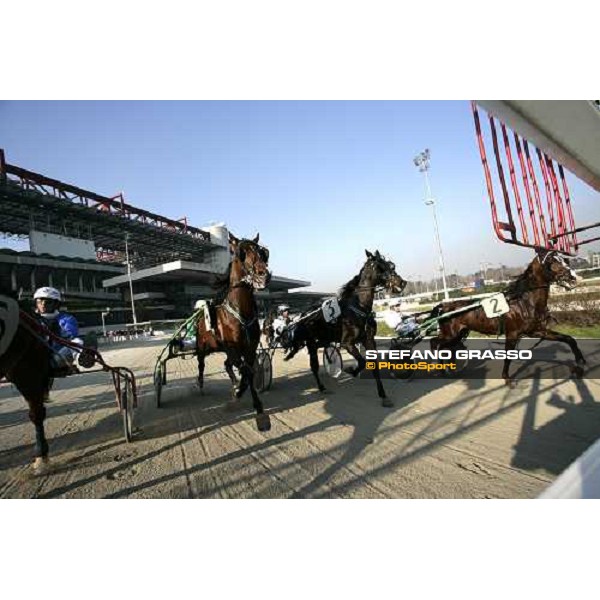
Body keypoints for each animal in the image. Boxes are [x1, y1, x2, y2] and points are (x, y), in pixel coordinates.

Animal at [196, 234, 274, 432]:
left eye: (263, 251)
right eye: (241, 253)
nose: (263, 274)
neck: (241, 312)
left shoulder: (249, 348)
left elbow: (249, 373)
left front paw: (256, 407)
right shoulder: (233, 348)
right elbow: (247, 371)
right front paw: (239, 398)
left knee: (227, 364)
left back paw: (234, 384)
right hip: (202, 346)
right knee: (201, 364)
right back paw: (201, 385)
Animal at [278, 248, 406, 408]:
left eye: (391, 265)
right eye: (380, 267)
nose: (402, 282)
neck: (358, 307)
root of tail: (303, 314)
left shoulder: (369, 340)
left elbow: (373, 365)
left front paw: (383, 396)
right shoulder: (347, 343)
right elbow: (362, 362)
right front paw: (351, 370)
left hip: (324, 339)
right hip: (311, 342)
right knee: (314, 365)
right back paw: (322, 387)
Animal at [432, 250, 584, 386]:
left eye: (565, 259)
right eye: (552, 261)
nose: (573, 277)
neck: (525, 302)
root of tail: (443, 306)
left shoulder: (537, 330)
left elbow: (569, 339)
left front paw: (579, 365)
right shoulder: (512, 333)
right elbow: (508, 357)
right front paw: (507, 378)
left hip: (459, 334)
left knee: (448, 347)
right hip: (450, 334)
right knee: (437, 343)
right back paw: (441, 369)